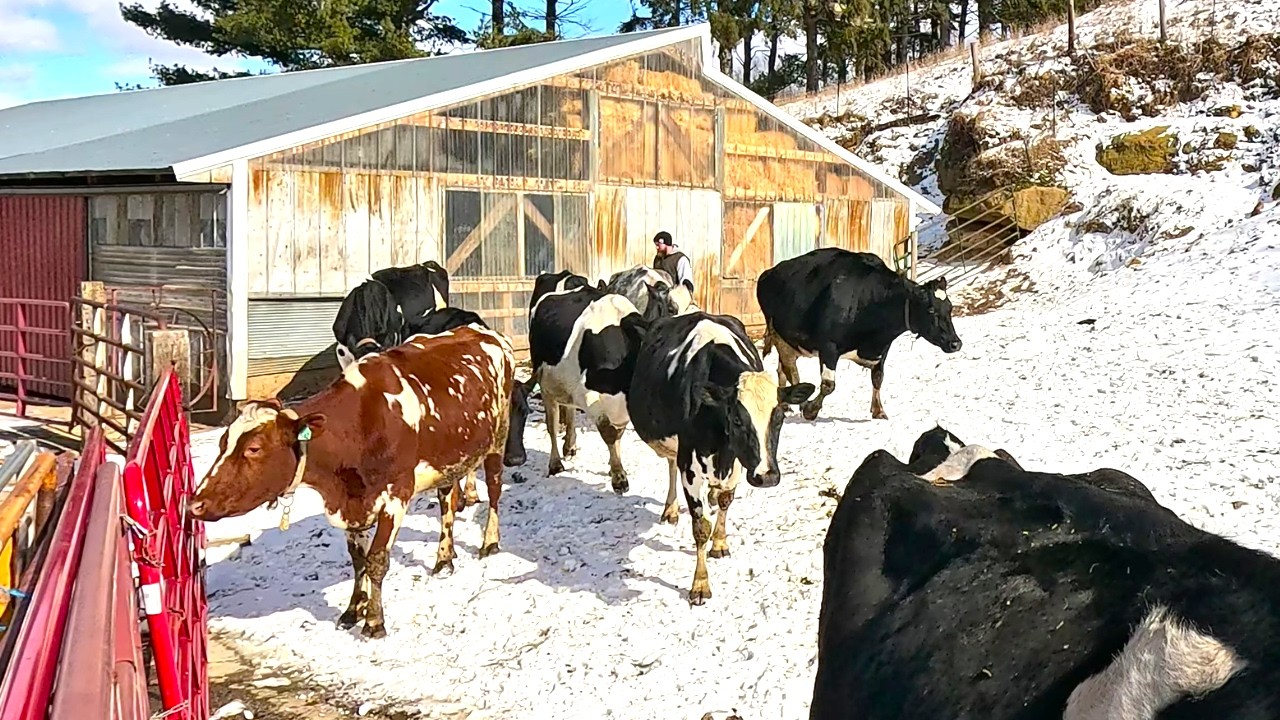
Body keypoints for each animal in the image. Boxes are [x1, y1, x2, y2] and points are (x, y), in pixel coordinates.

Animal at [188, 324, 516, 639]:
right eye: (222, 443)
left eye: (254, 449)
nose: (195, 504)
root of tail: (485, 331)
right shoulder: (352, 505)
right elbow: (358, 559)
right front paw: (354, 609)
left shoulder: (395, 496)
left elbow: (377, 560)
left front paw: (374, 621)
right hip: (448, 458)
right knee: (447, 500)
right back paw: (445, 558)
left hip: (498, 438)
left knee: (495, 489)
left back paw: (489, 542)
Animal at [508, 281, 650, 494]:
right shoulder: (588, 395)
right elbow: (609, 432)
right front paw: (618, 476)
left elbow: (619, 433)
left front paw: (614, 467)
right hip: (546, 384)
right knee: (552, 424)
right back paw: (555, 463)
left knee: (570, 410)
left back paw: (570, 446)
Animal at [627, 312, 813, 605]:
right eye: (737, 419)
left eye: (779, 416)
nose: (767, 476)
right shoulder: (690, 465)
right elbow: (700, 526)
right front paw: (700, 584)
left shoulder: (737, 460)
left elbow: (726, 500)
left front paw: (721, 542)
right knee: (670, 464)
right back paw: (671, 509)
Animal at [756, 247, 962, 422]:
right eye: (931, 310)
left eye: (950, 307)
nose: (955, 343)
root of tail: (768, 274)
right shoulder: (829, 347)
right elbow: (828, 385)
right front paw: (810, 410)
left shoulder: (882, 349)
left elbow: (878, 377)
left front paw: (879, 410)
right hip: (780, 336)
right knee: (791, 371)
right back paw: (800, 404)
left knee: (782, 369)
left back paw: (785, 404)